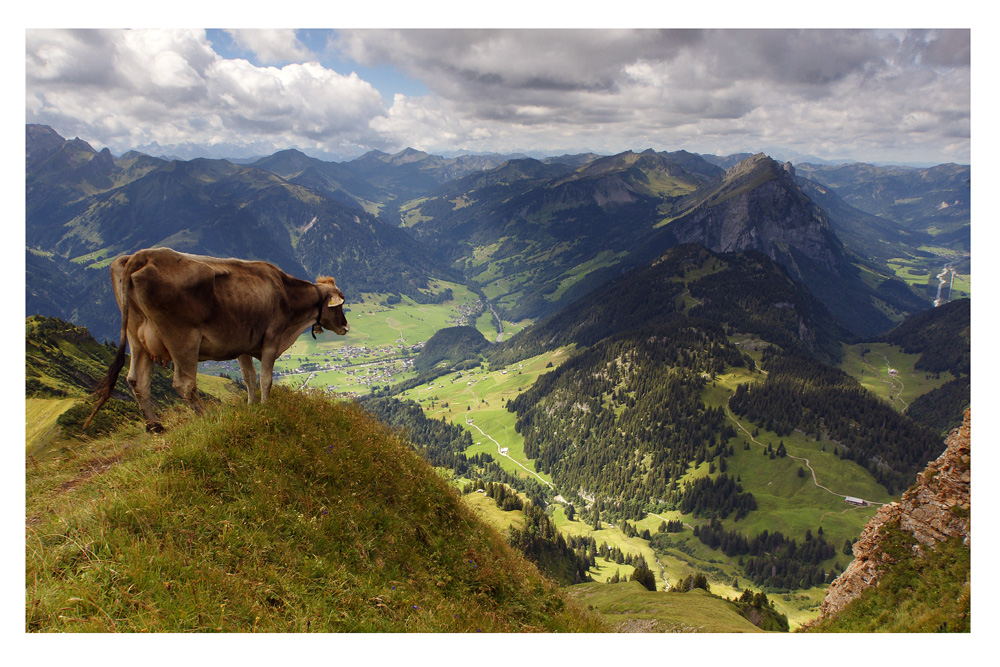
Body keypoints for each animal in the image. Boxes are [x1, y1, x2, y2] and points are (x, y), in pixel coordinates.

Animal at [86, 249, 352, 434]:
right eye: (340, 304)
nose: (346, 326)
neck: (287, 294)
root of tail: (142, 256)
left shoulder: (244, 344)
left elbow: (249, 379)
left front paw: (251, 407)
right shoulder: (271, 340)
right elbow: (266, 380)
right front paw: (266, 407)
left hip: (136, 337)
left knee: (136, 380)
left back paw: (155, 426)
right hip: (182, 339)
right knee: (184, 384)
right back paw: (205, 418)